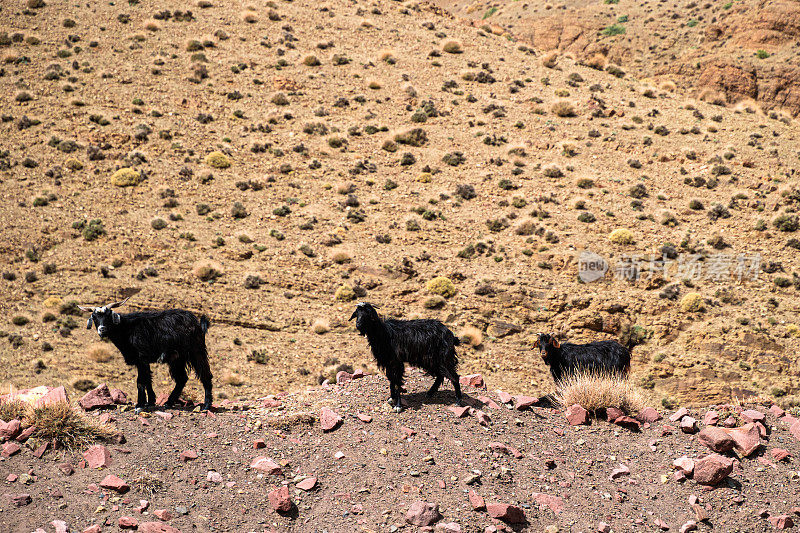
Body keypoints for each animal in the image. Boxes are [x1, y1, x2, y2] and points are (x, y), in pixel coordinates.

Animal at [79, 298, 214, 410]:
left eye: (108, 316)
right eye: (94, 317)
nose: (102, 329)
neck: (126, 329)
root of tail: (197, 322)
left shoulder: (142, 358)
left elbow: (140, 381)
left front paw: (140, 405)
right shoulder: (142, 361)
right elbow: (148, 379)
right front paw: (150, 402)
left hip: (196, 351)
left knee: (205, 374)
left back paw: (206, 405)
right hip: (177, 358)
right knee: (182, 378)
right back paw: (169, 402)